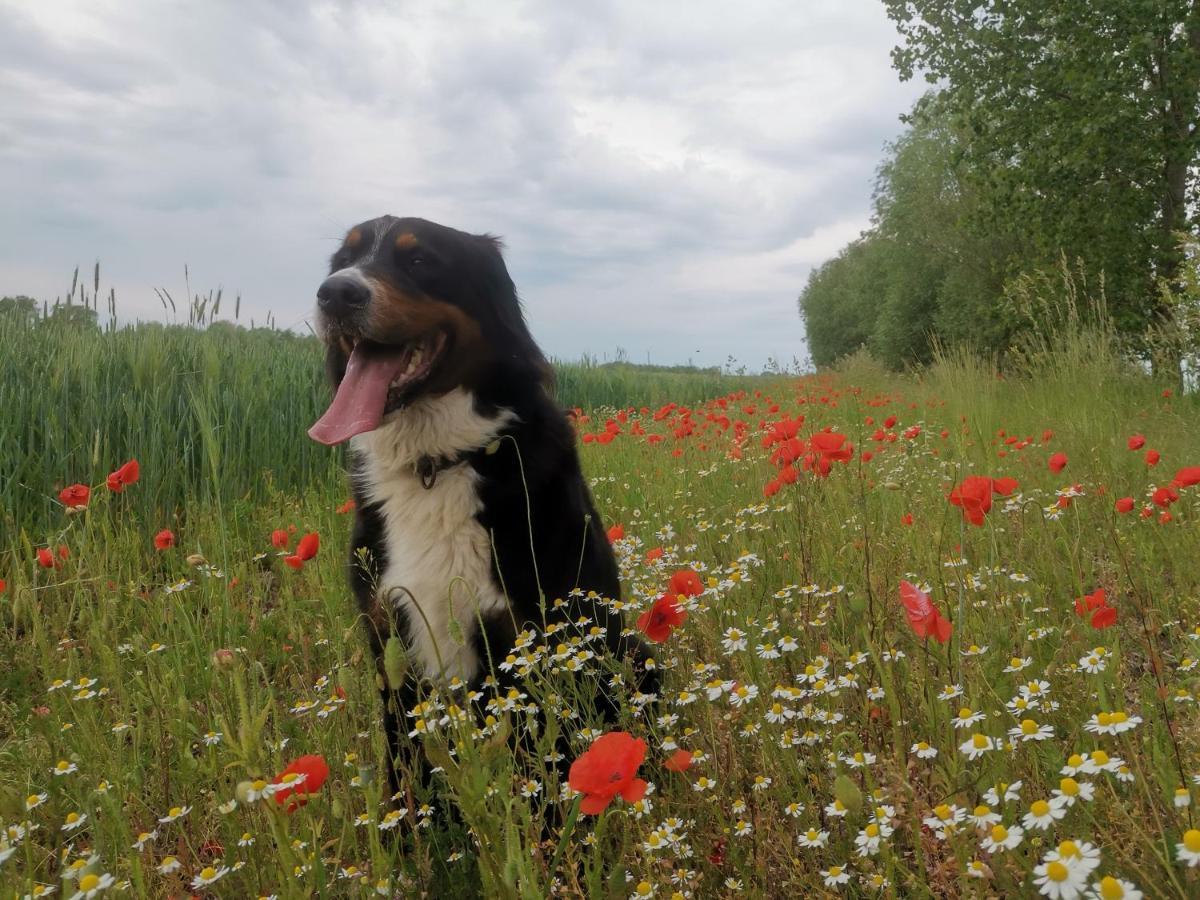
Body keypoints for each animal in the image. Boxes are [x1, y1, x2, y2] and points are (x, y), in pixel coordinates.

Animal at [304, 217, 652, 811]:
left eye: (420, 261)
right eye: (343, 260)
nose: (335, 294)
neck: (435, 464)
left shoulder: (530, 636)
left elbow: (544, 782)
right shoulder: (390, 643)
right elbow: (405, 775)